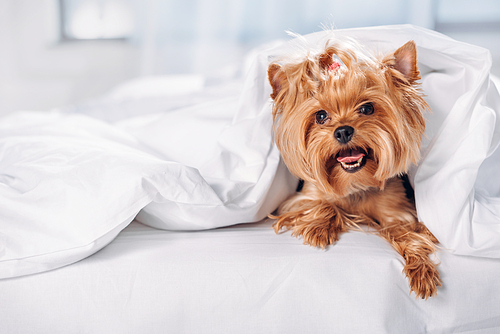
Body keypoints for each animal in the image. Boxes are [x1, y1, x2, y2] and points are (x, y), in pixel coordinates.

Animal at [270, 37, 442, 298]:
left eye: (367, 108)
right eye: (321, 116)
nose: (343, 131)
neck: (356, 184)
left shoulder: (398, 213)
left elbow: (407, 232)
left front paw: (421, 268)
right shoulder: (301, 199)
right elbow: (323, 204)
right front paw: (319, 229)